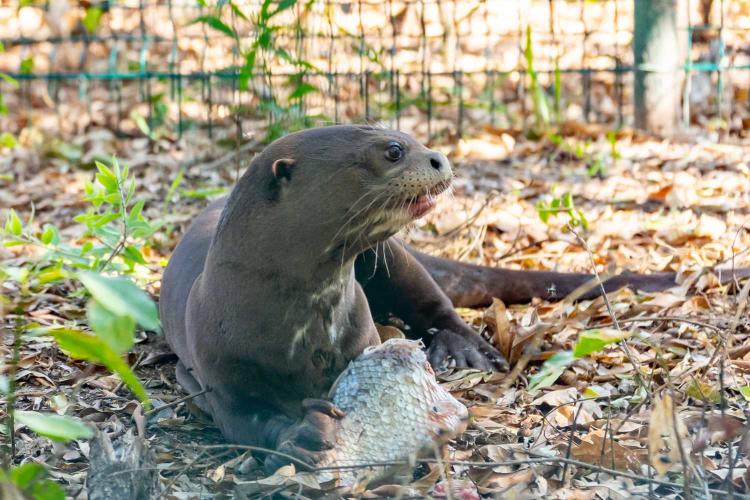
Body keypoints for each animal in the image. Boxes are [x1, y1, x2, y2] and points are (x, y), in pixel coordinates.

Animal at [160, 124, 740, 468]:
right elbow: (249, 422)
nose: (438, 158)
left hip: (397, 259)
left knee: (437, 306)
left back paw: (465, 352)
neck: (298, 331)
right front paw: (302, 437)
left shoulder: (357, 336)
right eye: (393, 150)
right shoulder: (219, 376)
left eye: (407, 138)